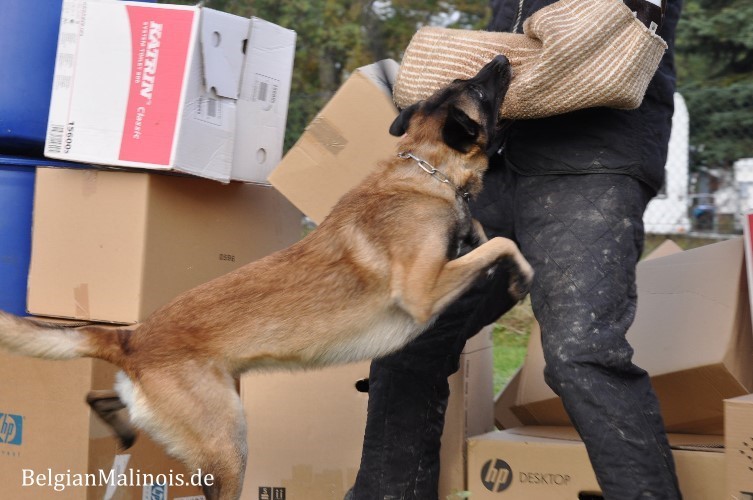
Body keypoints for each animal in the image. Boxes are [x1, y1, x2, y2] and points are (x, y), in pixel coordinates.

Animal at [0, 54, 531, 500]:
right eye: (479, 88)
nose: (503, 57)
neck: (427, 169)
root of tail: (130, 337)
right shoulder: (422, 291)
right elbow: (503, 245)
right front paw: (520, 277)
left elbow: (485, 236)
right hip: (229, 444)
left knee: (104, 400)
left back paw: (120, 425)